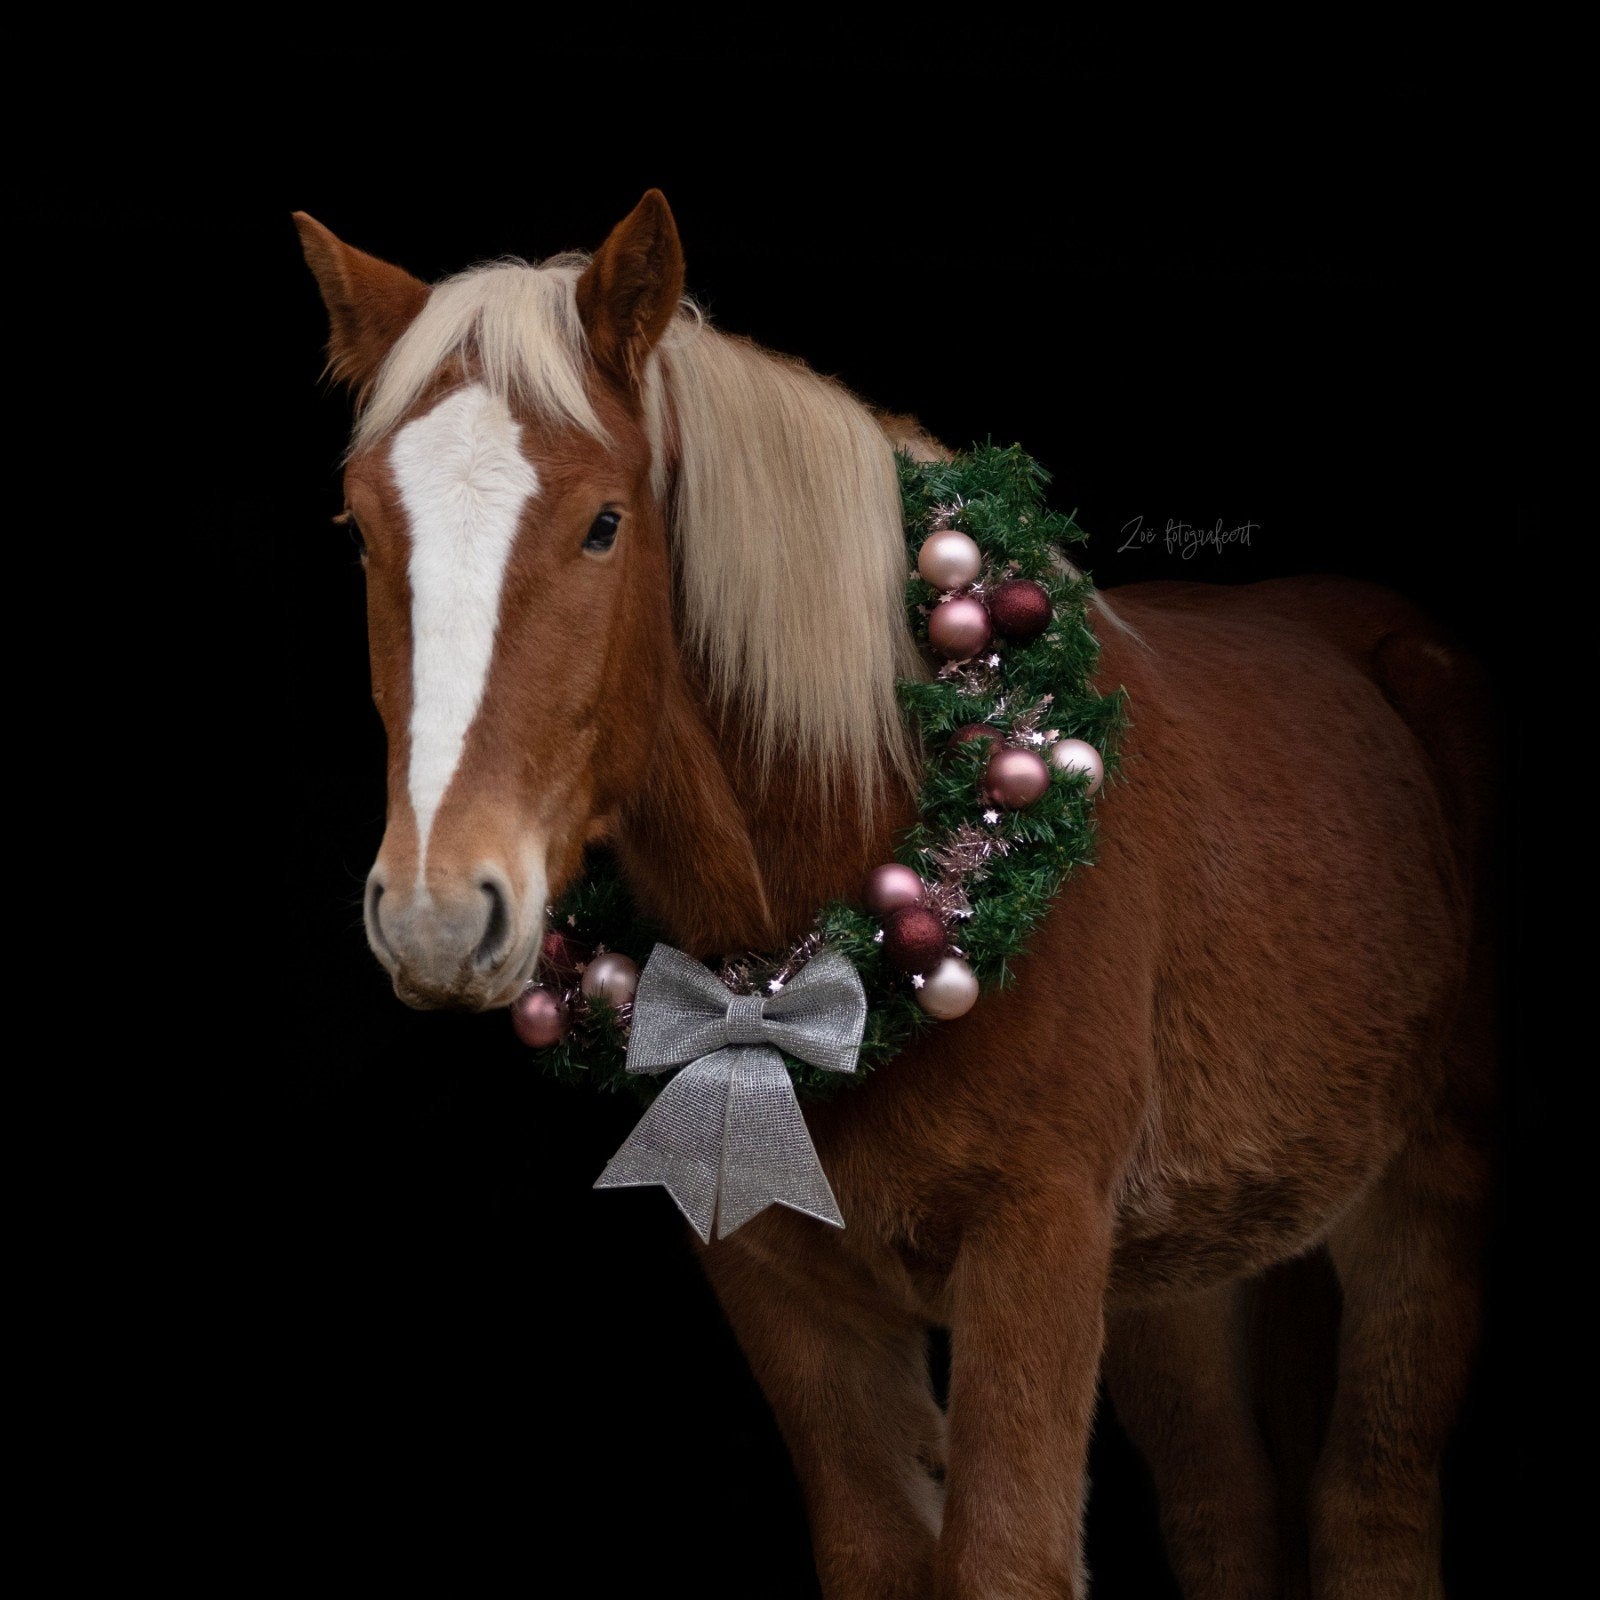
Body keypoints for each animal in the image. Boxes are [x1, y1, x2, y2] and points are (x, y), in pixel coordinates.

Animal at [294, 190, 1496, 1600]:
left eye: (602, 523)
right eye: (361, 531)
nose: (438, 911)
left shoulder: (1034, 1242)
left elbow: (1006, 1555)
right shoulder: (777, 1273)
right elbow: (878, 1545)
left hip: (1420, 1205)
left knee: (1371, 1510)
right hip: (1182, 1272)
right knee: (1227, 1514)